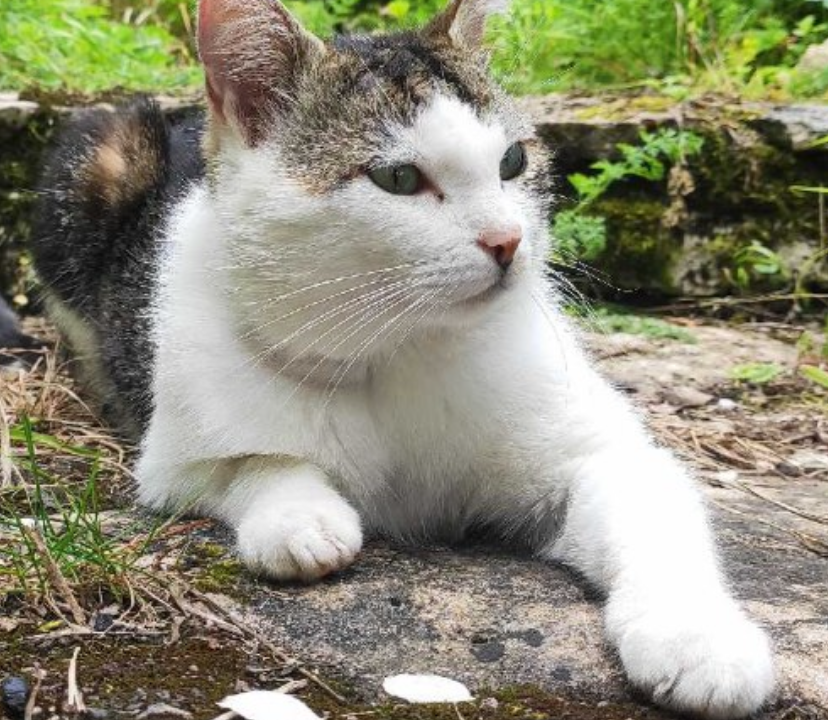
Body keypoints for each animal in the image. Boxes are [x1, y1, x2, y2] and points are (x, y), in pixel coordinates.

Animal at [29, 0, 772, 712]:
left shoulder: (601, 451)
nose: (507, 241)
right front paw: (299, 517)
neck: (403, 349)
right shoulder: (176, 455)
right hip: (91, 155)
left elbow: (650, 512)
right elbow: (250, 461)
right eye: (397, 177)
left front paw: (699, 642)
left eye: (512, 162)